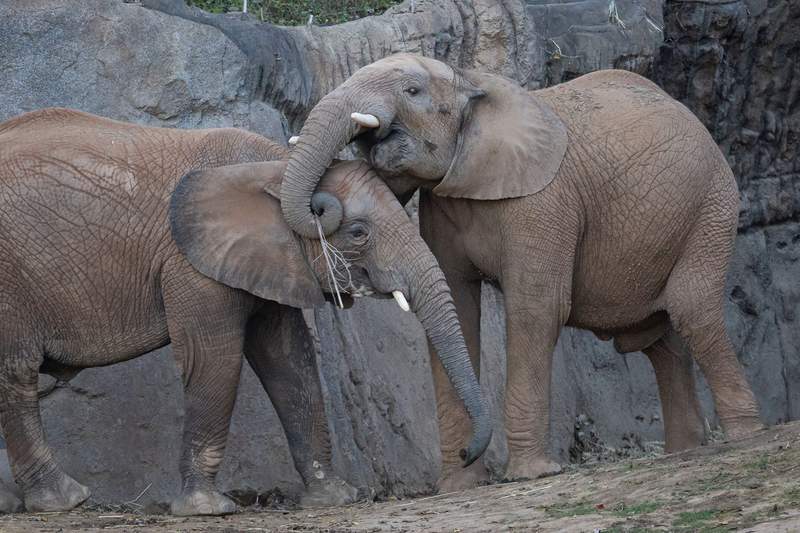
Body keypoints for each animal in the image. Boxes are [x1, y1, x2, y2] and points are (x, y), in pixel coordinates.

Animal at [0, 107, 491, 514]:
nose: (465, 453)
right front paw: (206, 509)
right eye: (358, 233)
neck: (279, 168)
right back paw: (65, 500)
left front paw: (335, 498)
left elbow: (288, 360)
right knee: (17, 374)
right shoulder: (190, 262)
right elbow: (214, 359)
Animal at [278, 53, 764, 491]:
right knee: (660, 340)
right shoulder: (443, 206)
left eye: (412, 91)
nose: (466, 452)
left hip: (712, 205)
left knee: (692, 308)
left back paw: (745, 437)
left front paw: (531, 474)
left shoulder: (543, 203)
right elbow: (459, 311)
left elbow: (536, 309)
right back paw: (685, 450)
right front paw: (459, 486)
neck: (472, 80)